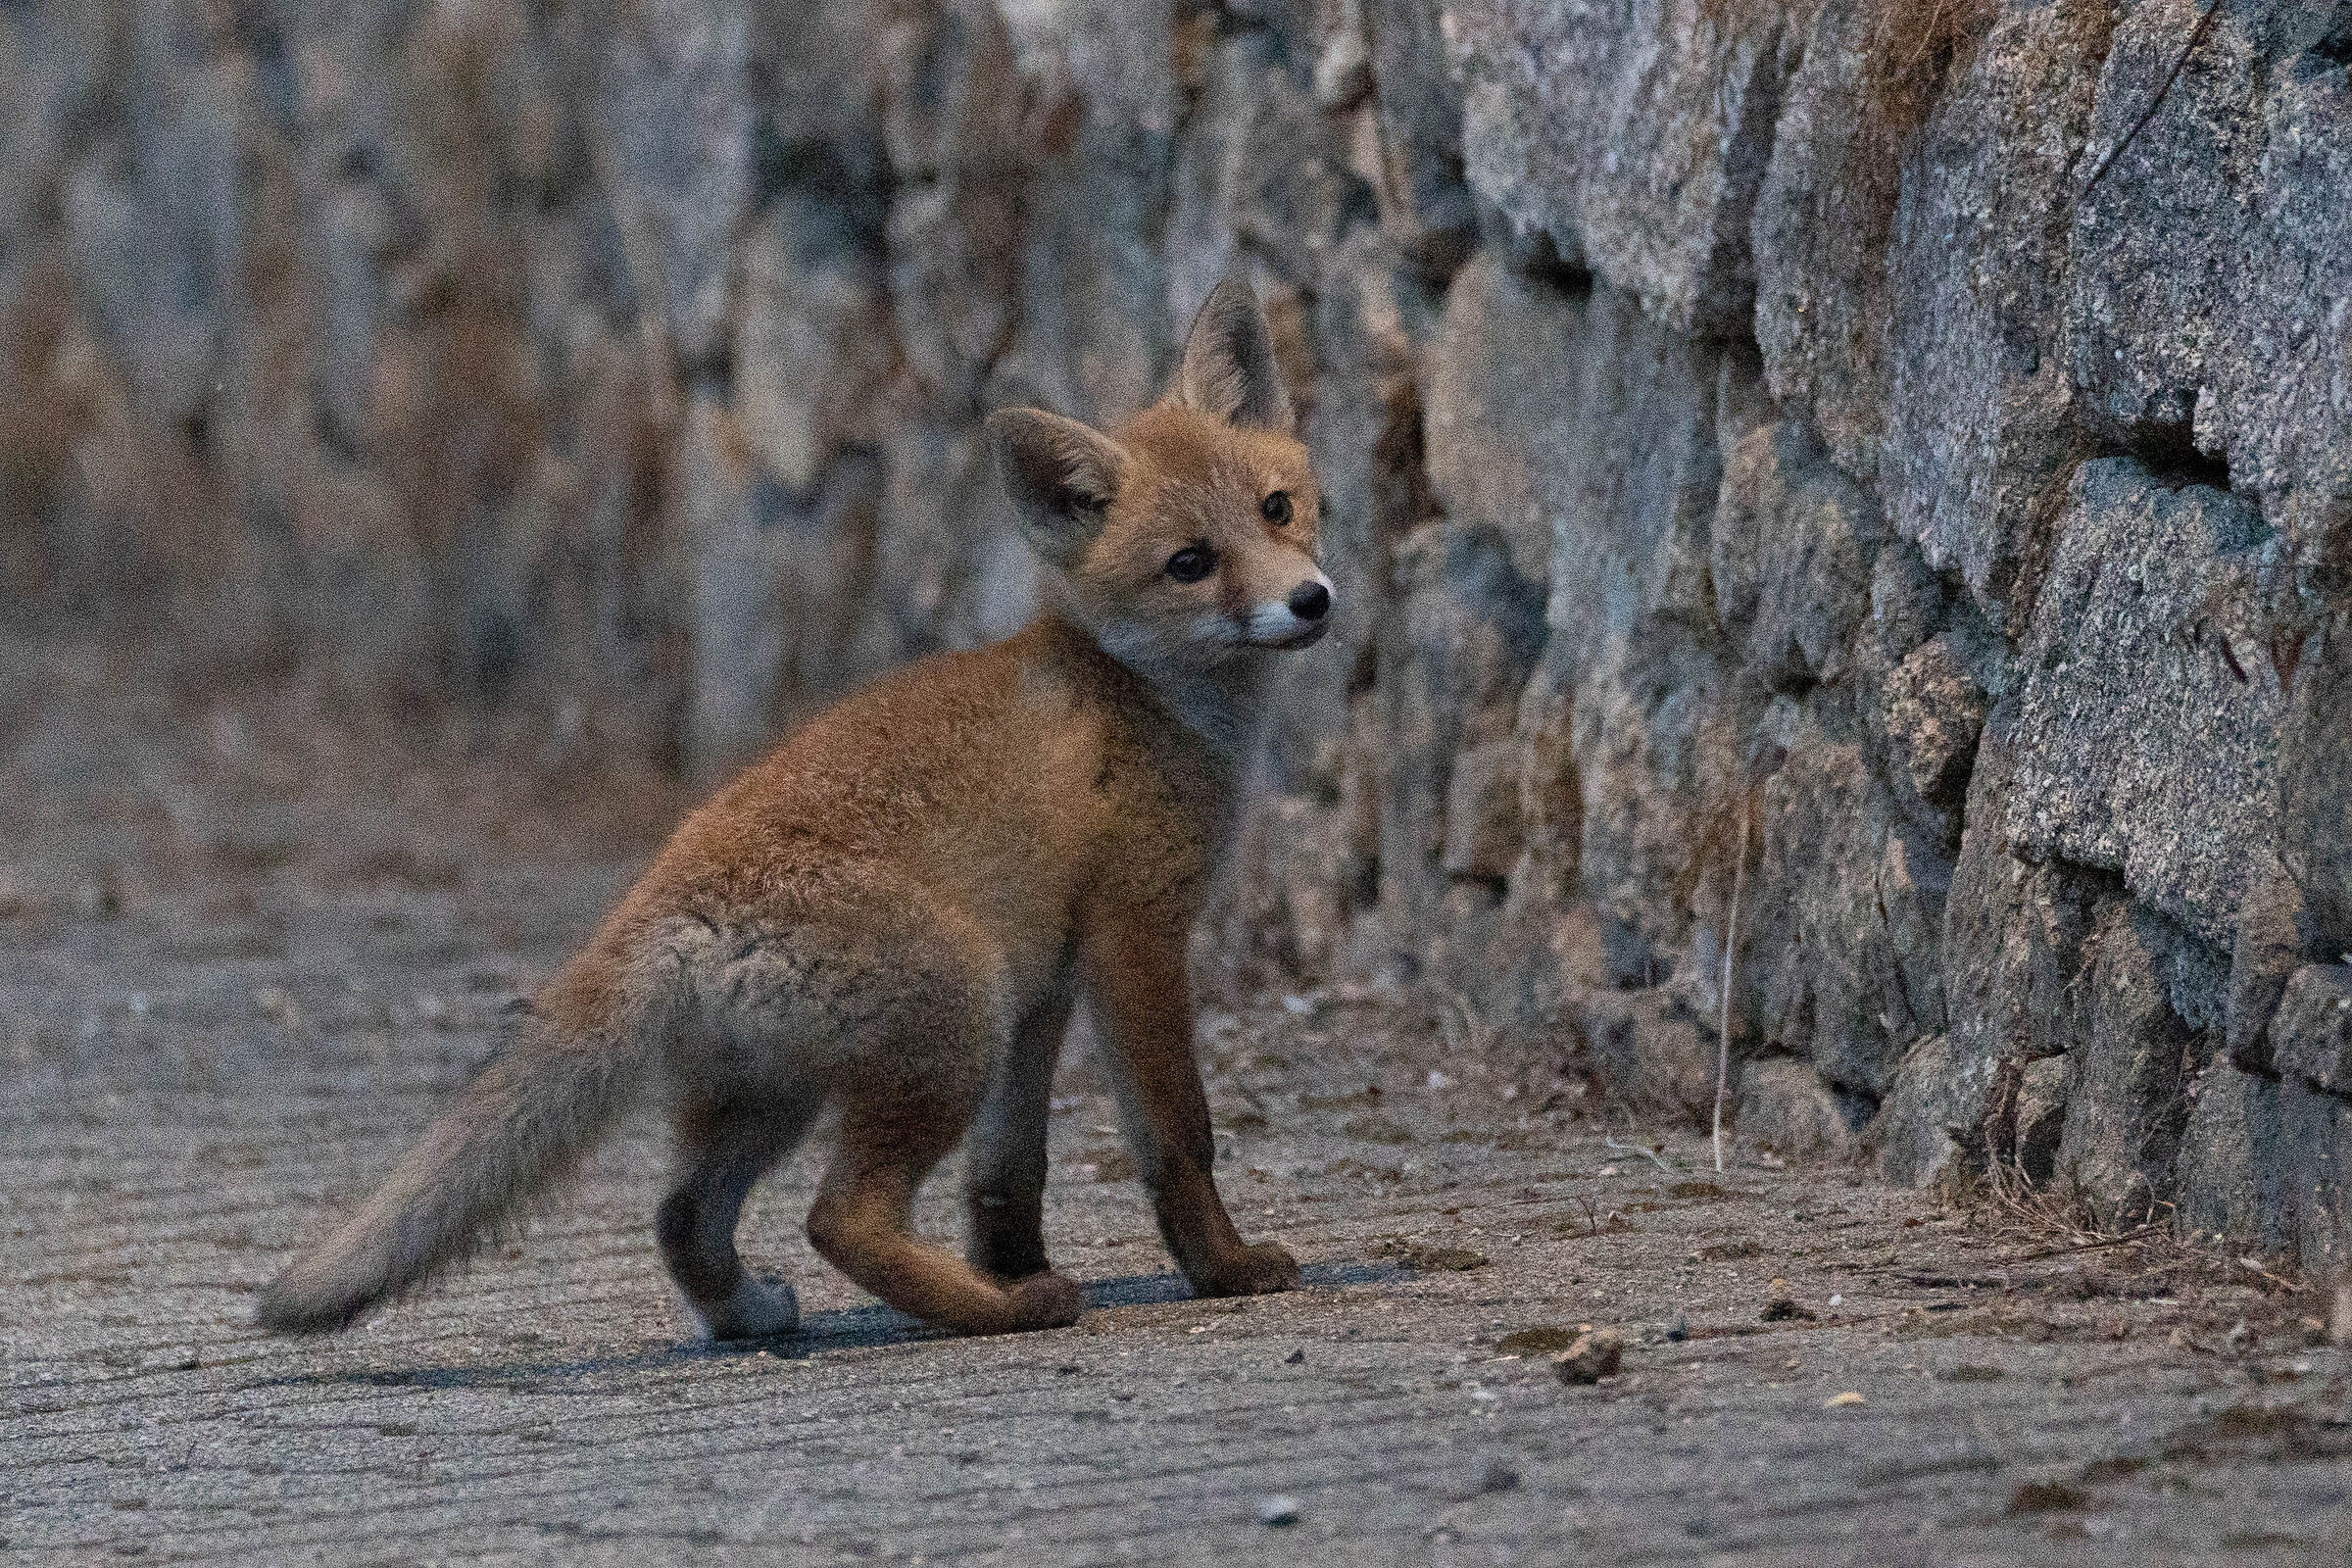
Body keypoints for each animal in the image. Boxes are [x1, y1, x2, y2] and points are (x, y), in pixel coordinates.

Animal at [257, 275, 1332, 1342]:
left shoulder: (1046, 992)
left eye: (1278, 508)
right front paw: (1223, 1270)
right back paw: (998, 1314)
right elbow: (1180, 1137)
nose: (1313, 602)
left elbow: (1008, 1174)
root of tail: (660, 908)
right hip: (953, 1017)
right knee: (839, 1217)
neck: (1140, 695)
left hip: (789, 1088)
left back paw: (769, 1313)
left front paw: (1013, 1260)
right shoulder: (1134, 937)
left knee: (681, 1213)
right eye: (1191, 563)